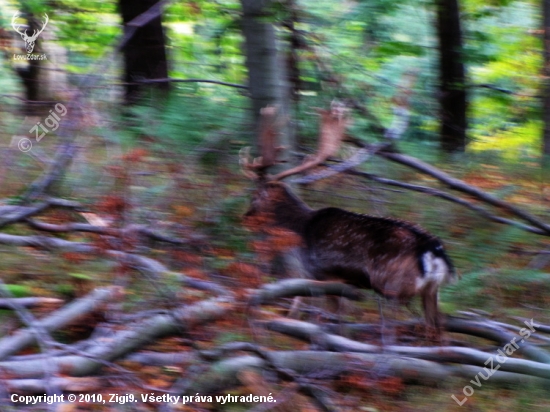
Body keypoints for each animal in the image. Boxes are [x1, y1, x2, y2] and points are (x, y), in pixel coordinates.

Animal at [244, 104, 460, 334]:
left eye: (255, 196)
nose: (245, 218)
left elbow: (316, 309)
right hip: (431, 290)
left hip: (393, 284)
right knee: (436, 324)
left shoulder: (322, 273)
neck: (301, 230)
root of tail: (434, 250)